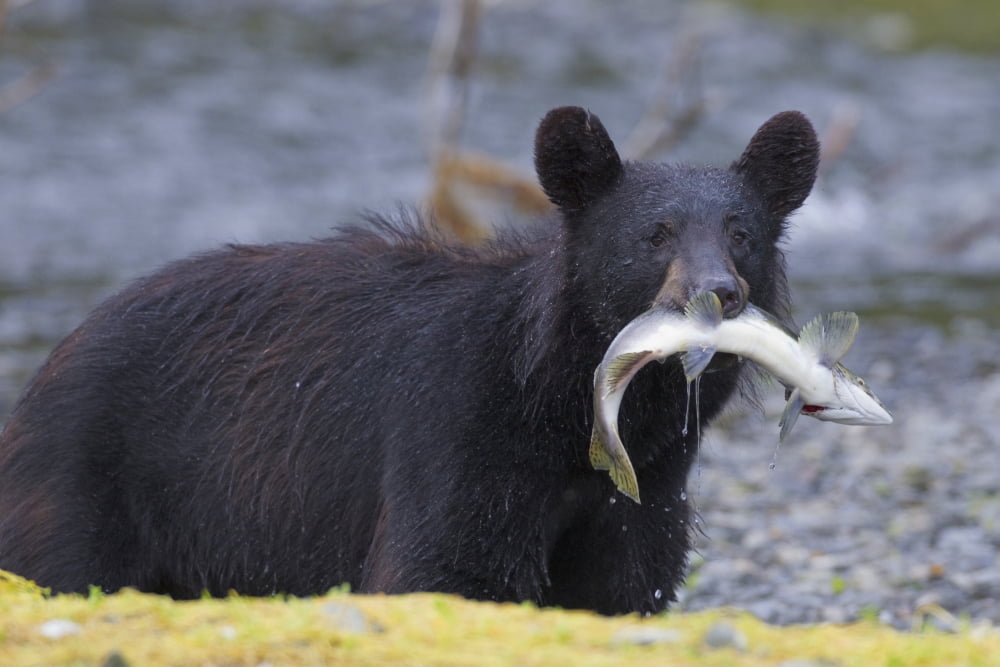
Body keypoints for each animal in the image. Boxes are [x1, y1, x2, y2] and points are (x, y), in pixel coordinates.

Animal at [0, 106, 819, 615]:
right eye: (655, 233)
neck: (563, 413)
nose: (717, 292)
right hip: (85, 486)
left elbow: (625, 585)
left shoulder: (643, 496)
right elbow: (443, 570)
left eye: (740, 231)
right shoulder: (456, 434)